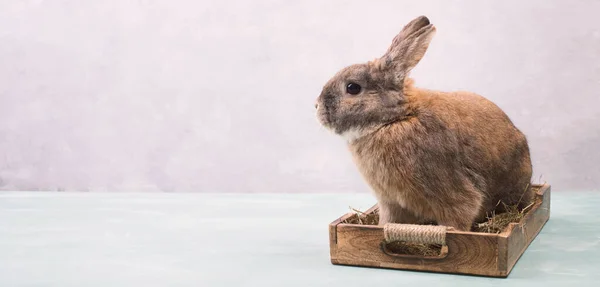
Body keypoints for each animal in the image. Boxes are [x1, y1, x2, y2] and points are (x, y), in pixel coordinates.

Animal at [316, 15, 532, 232]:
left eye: (352, 88)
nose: (317, 107)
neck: (395, 118)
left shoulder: (451, 193)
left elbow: (460, 215)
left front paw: (453, 232)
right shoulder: (390, 202)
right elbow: (388, 221)